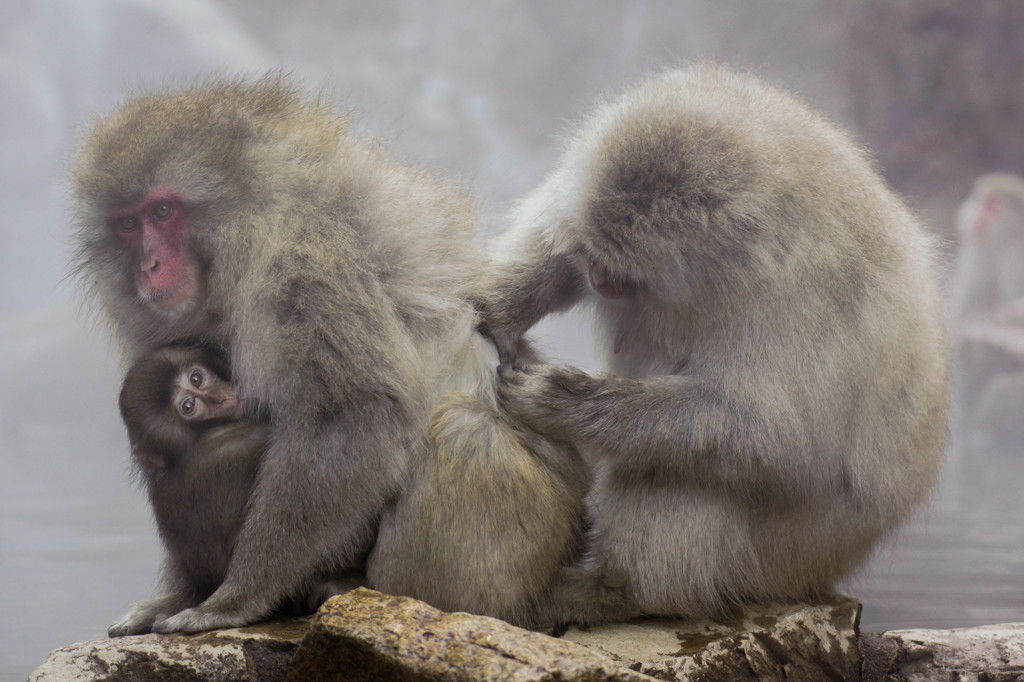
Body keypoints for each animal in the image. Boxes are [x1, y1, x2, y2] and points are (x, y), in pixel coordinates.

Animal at [72, 75, 585, 630]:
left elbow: (354, 416)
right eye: (127, 225)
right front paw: (175, 597)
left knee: (465, 432)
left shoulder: (303, 262)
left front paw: (233, 599)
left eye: (162, 211)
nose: (148, 266)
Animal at [479, 63, 950, 622]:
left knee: (684, 466)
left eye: (627, 274)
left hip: (784, 558)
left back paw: (618, 591)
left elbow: (774, 435)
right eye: (594, 253)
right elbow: (555, 241)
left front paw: (566, 403)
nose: (595, 275)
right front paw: (501, 309)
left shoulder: (793, 297)